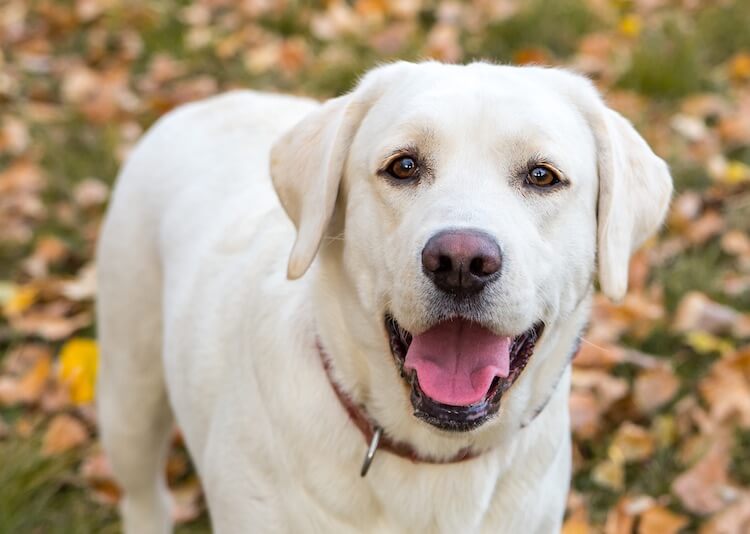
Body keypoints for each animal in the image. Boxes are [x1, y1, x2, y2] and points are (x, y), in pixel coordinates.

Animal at [95, 60, 676, 532]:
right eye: (404, 166)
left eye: (541, 175)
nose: (460, 262)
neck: (434, 462)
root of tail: (204, 103)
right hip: (129, 393)